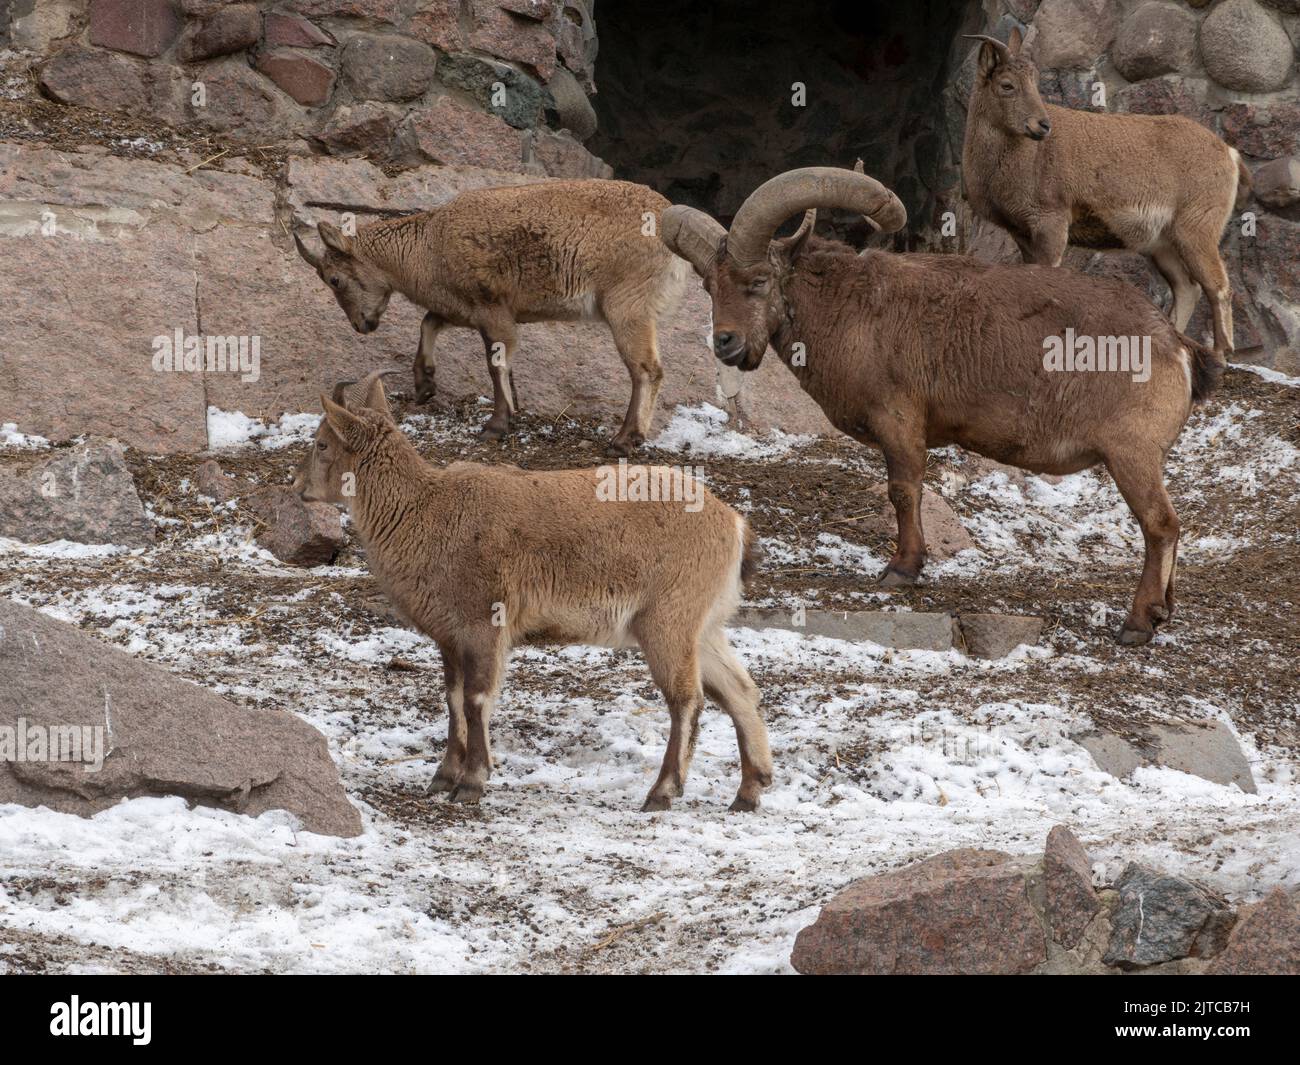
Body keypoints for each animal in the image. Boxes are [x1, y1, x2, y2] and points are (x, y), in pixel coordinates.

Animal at [289, 179, 686, 455]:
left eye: (335, 279)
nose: (362, 325)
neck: (428, 247)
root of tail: (668, 223)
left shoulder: (492, 309)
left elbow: (496, 361)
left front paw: (496, 424)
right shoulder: (463, 308)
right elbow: (429, 322)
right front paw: (424, 384)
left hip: (627, 305)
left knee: (647, 370)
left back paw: (624, 439)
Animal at [295, 371, 769, 811]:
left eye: (322, 444)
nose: (298, 486)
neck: (425, 513)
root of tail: (734, 525)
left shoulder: (484, 622)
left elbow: (476, 700)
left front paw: (472, 782)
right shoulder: (450, 636)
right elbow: (452, 700)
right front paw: (443, 777)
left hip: (668, 620)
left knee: (687, 699)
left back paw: (663, 791)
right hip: (702, 626)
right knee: (740, 690)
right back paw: (750, 789)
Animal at [665, 166, 1222, 644]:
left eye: (759, 280)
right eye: (709, 285)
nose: (726, 344)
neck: (850, 307)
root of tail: (1175, 345)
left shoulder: (899, 419)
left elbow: (903, 490)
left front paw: (902, 568)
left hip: (1131, 454)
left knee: (1161, 525)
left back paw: (1138, 623)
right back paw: (1163, 611)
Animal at [967, 28, 1248, 358]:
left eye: (1033, 82)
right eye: (1007, 85)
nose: (1042, 125)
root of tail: (1229, 154)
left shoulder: (1052, 221)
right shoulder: (1022, 232)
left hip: (1197, 230)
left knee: (1218, 286)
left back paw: (1222, 351)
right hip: (1162, 243)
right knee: (1186, 287)